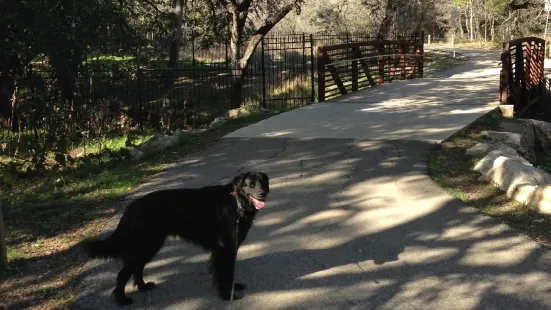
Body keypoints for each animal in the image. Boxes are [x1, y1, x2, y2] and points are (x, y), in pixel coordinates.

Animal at [81, 172, 270, 306]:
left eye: (263, 183)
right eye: (250, 185)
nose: (262, 194)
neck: (237, 202)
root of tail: (131, 208)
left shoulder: (228, 249)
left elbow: (228, 273)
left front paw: (232, 288)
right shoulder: (225, 248)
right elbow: (225, 272)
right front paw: (226, 295)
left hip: (151, 244)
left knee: (137, 267)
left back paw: (143, 286)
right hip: (145, 244)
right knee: (123, 273)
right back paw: (122, 300)